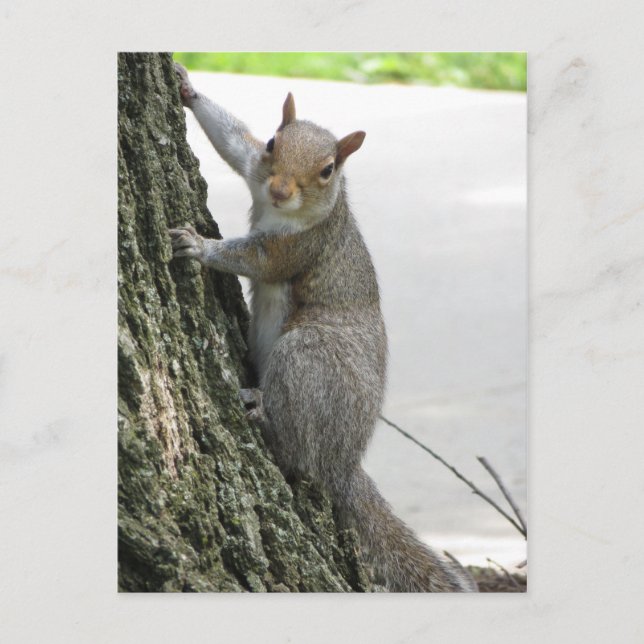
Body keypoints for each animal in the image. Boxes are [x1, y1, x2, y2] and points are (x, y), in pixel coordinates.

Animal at [170, 63, 477, 592]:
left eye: (328, 169)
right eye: (275, 141)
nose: (279, 190)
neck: (287, 211)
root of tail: (344, 462)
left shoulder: (298, 247)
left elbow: (254, 260)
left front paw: (201, 247)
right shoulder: (253, 167)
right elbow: (233, 140)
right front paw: (189, 88)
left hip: (310, 355)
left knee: (300, 453)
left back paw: (262, 411)